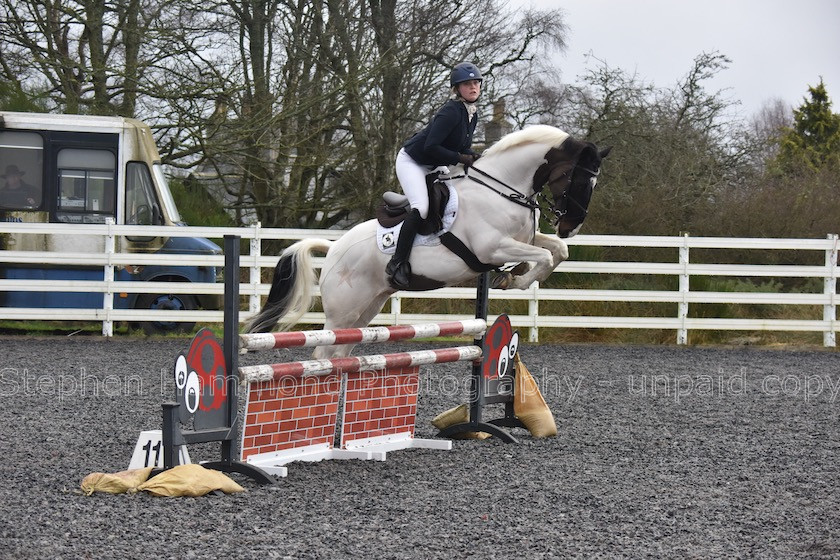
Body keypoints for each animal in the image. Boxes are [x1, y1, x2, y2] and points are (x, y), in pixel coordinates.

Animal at [246, 124, 608, 356]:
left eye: (594, 183)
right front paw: (515, 280)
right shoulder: (491, 247)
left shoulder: (523, 239)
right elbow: (543, 257)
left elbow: (557, 251)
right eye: (577, 179)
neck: (502, 188)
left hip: (366, 309)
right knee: (323, 355)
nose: (571, 226)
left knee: (341, 353)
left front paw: (516, 273)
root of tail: (334, 248)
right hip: (342, 313)